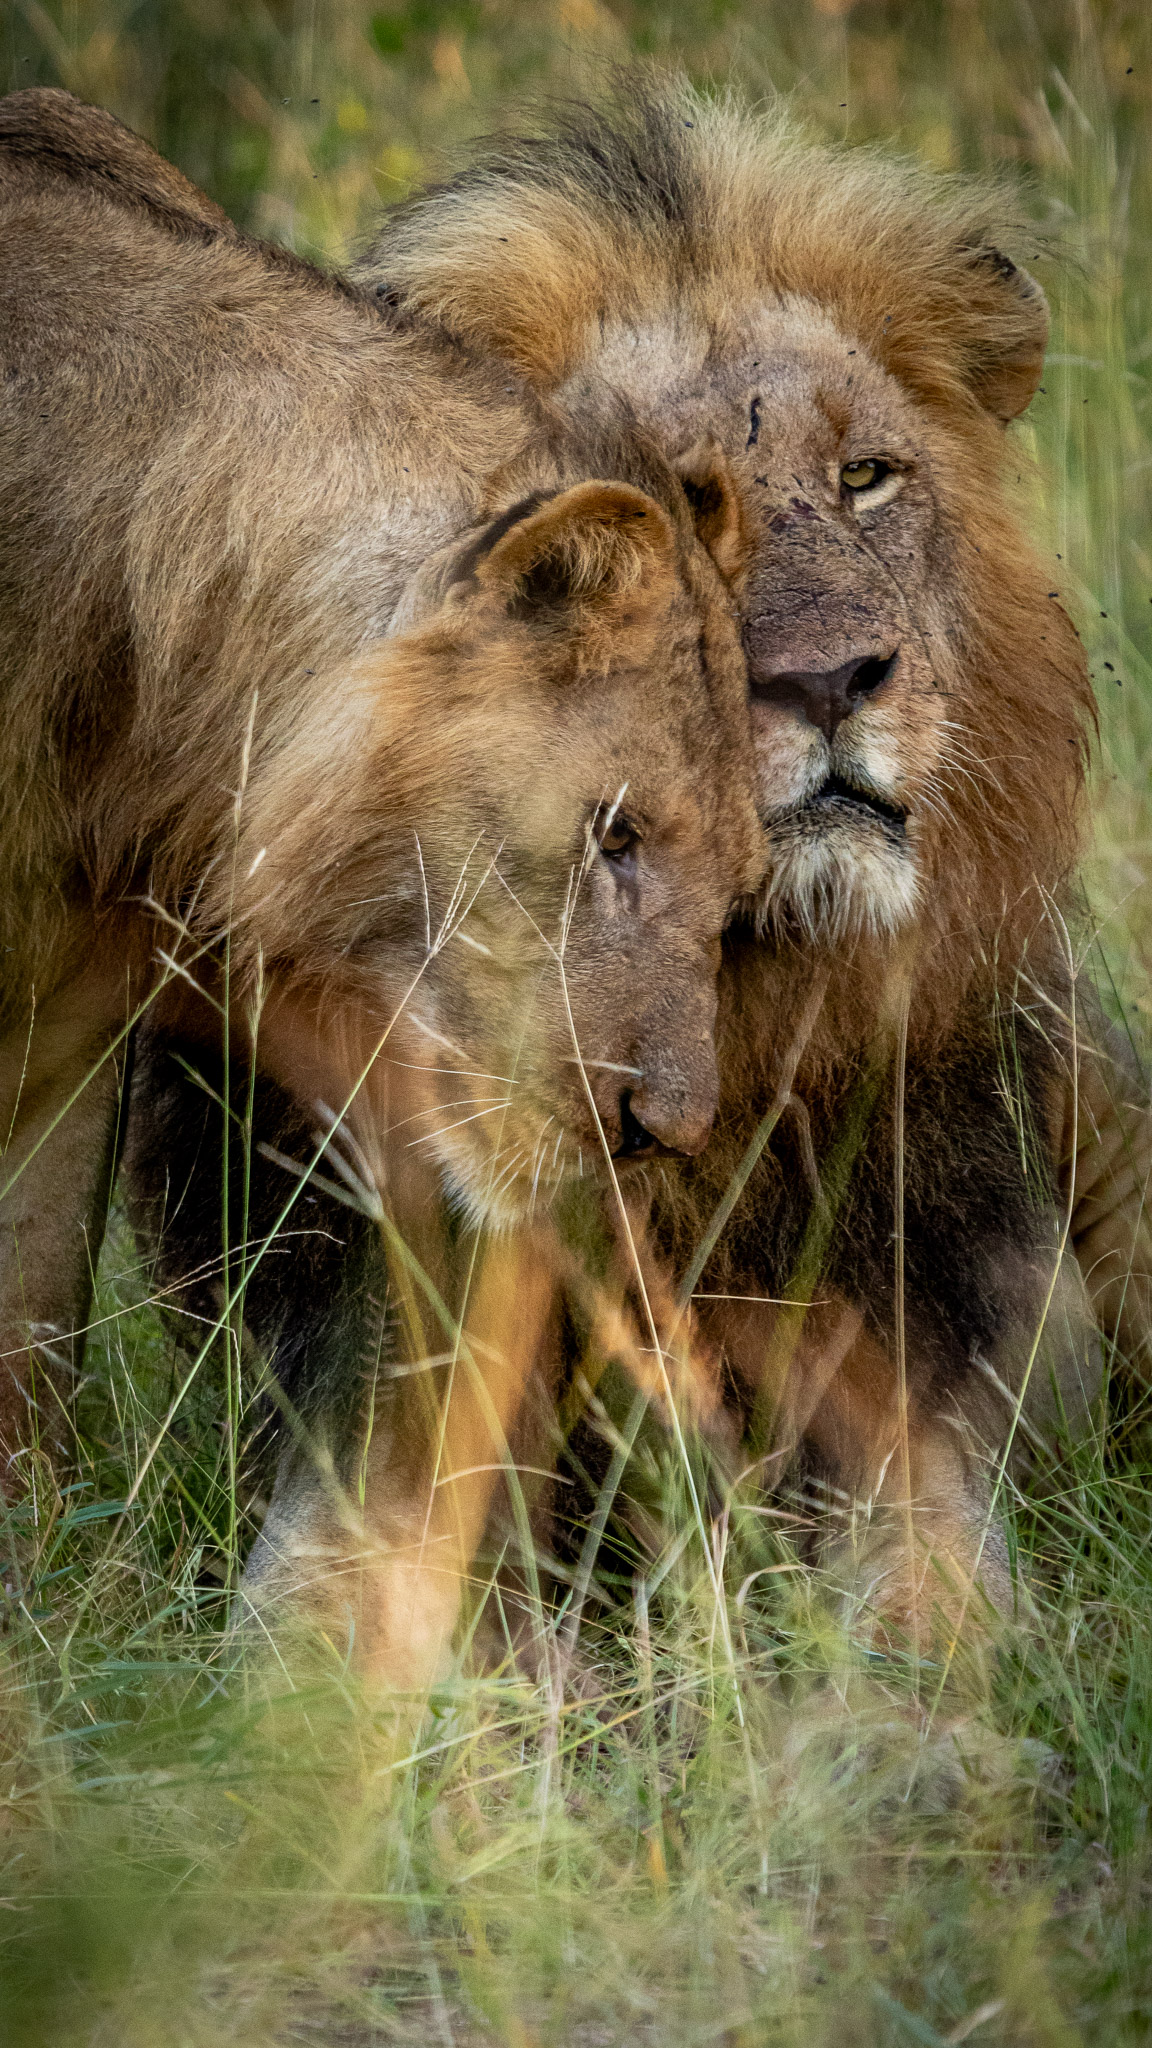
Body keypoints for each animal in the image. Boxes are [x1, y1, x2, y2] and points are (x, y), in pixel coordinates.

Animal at [344, 76, 1152, 1645]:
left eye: (866, 476)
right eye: (653, 512)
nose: (830, 681)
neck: (740, 1018)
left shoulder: (927, 1394)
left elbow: (932, 1580)